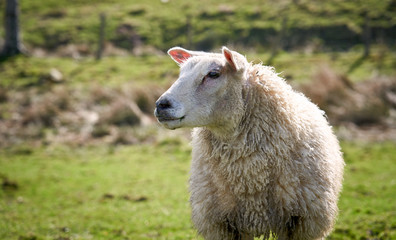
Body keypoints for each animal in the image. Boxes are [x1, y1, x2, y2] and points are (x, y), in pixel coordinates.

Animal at [154, 47, 344, 240]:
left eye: (213, 74)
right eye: (181, 73)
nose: (161, 105)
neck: (250, 179)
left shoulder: (300, 222)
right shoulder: (224, 225)